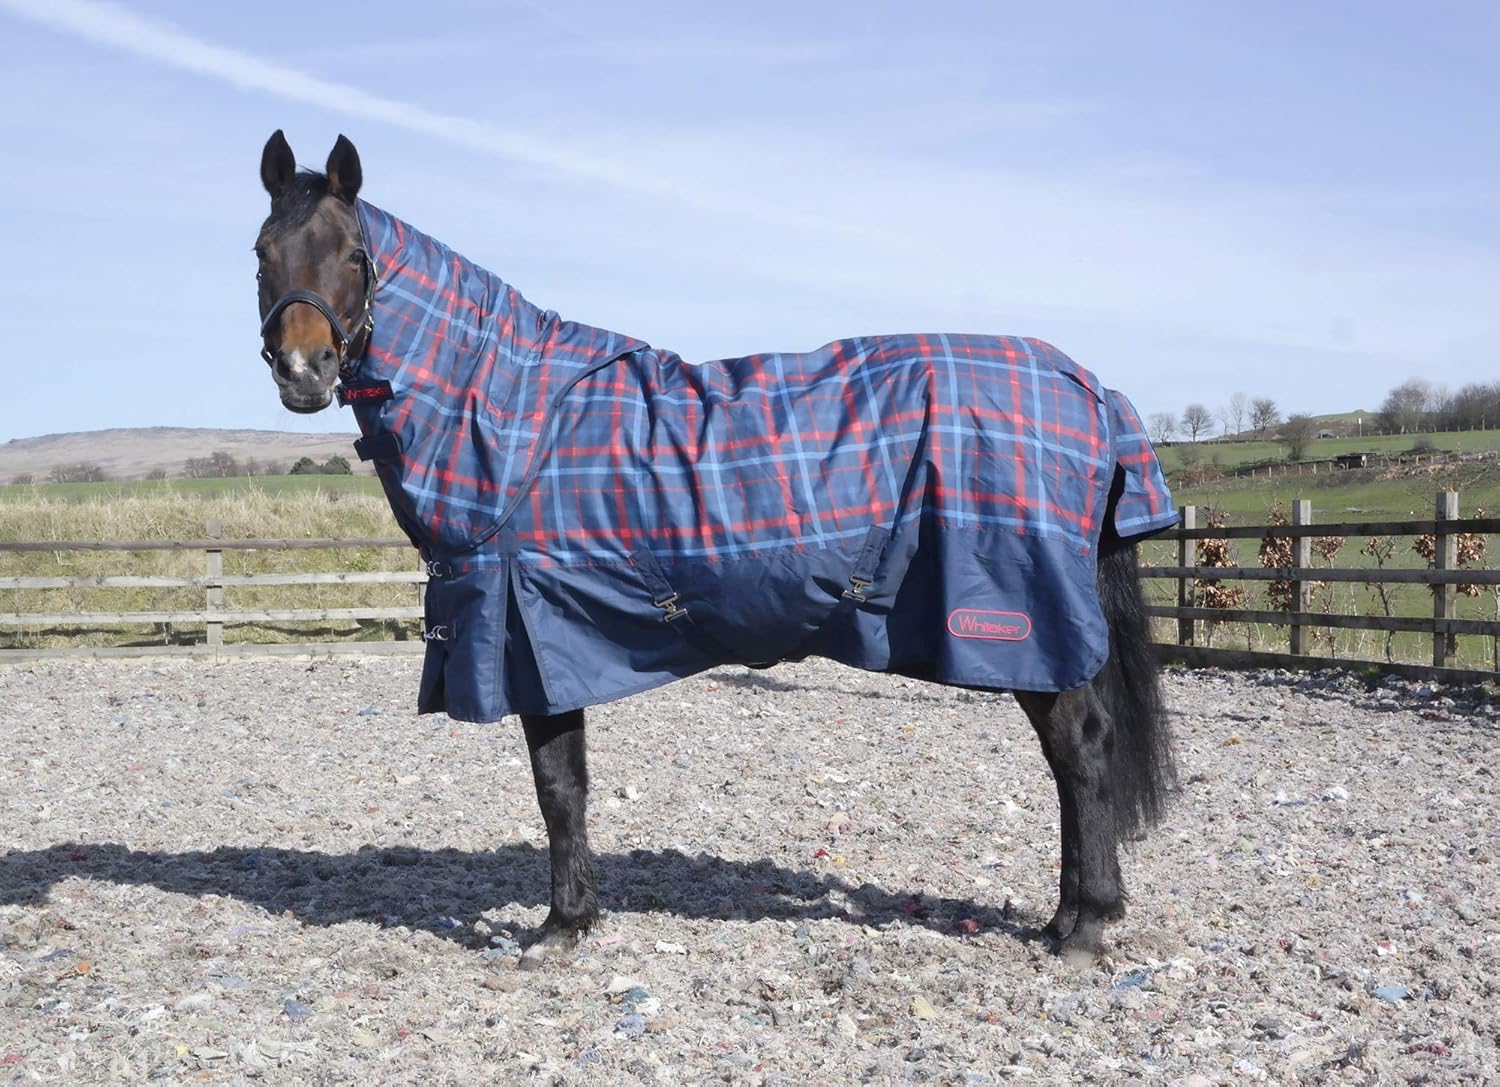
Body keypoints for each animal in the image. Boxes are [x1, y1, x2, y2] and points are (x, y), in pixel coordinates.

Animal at [252, 130, 1178, 967]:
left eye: (354, 254)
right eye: (264, 250)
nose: (303, 371)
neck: (507, 415)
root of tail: (1091, 390)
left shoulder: (531, 638)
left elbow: (559, 787)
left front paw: (560, 926)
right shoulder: (544, 644)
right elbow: (566, 783)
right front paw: (576, 916)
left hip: (1021, 629)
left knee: (1080, 751)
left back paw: (1083, 925)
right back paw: (1070, 916)